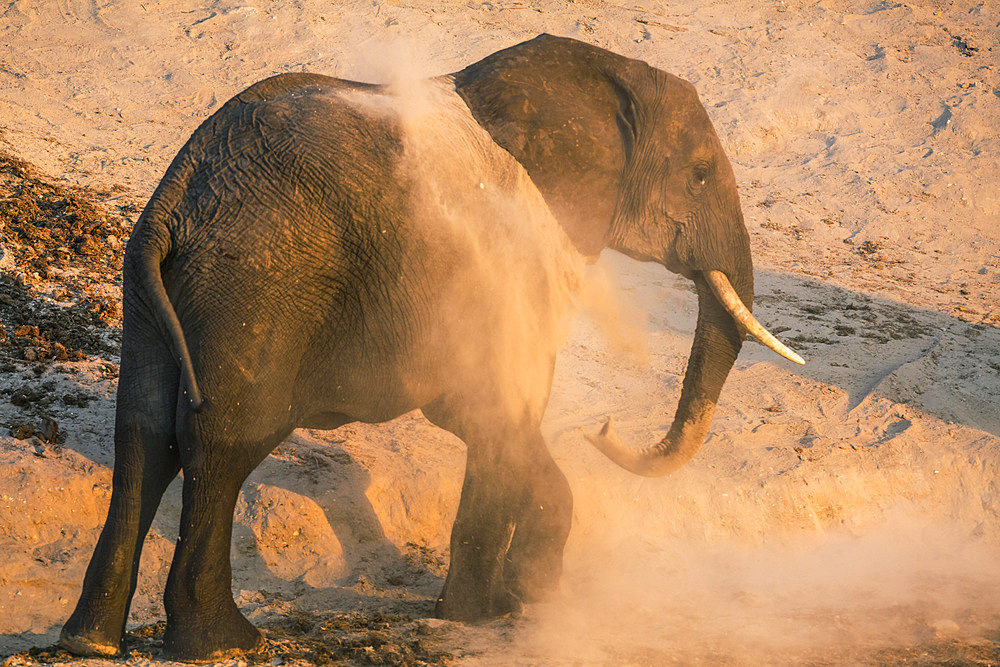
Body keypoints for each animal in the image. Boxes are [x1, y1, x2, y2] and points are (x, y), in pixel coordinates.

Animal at [58, 34, 800, 660]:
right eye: (699, 174)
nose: (604, 428)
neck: (592, 71)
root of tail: (177, 195)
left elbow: (485, 416)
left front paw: (521, 598)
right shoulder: (514, 260)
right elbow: (502, 412)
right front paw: (493, 611)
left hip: (156, 287)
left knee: (144, 434)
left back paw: (89, 641)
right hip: (259, 280)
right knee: (222, 443)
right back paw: (226, 643)